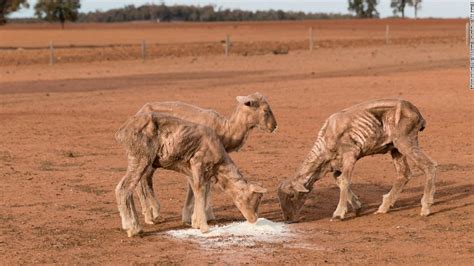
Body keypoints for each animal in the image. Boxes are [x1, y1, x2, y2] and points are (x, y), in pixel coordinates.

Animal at [113, 112, 264, 237]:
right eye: (256, 197)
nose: (254, 219)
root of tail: (121, 132)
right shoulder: (197, 163)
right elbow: (199, 190)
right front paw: (204, 227)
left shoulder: (193, 171)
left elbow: (197, 191)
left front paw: (195, 223)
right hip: (140, 158)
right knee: (123, 188)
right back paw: (133, 228)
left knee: (132, 187)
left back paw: (138, 226)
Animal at [133, 92, 276, 225]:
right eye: (265, 110)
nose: (274, 126)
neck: (227, 130)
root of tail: (139, 112)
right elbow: (200, 187)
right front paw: (198, 216)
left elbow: (206, 185)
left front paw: (200, 215)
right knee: (141, 181)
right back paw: (150, 216)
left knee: (145, 179)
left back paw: (152, 214)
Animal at [278, 98, 436, 221]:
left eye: (292, 195)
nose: (288, 220)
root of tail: (418, 115)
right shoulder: (336, 165)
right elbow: (339, 180)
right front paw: (357, 207)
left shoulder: (350, 154)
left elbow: (344, 180)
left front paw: (339, 213)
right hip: (395, 148)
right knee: (404, 174)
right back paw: (383, 208)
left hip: (405, 142)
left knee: (429, 166)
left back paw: (426, 207)